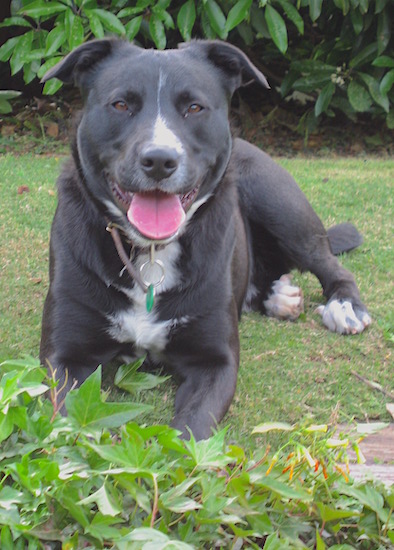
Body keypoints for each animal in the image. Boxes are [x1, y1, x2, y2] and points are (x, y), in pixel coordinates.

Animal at [40, 40, 370, 440]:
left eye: (194, 108)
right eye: (120, 104)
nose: (159, 160)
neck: (151, 251)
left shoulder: (215, 361)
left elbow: (191, 433)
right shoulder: (64, 356)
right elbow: (65, 423)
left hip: (278, 201)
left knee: (328, 263)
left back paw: (343, 306)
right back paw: (278, 296)